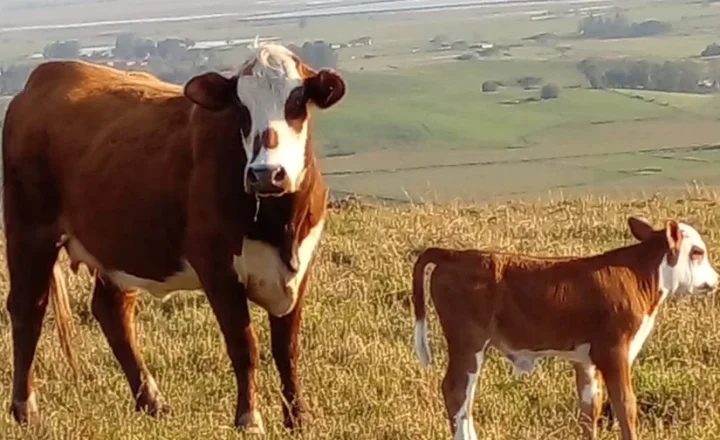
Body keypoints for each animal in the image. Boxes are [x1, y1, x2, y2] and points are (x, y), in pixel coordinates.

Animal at [2, 42, 345, 434]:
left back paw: (151, 401)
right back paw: (26, 410)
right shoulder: (217, 270)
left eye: (297, 99)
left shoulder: (298, 270)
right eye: (241, 106)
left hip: (121, 245)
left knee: (111, 311)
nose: (266, 174)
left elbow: (287, 349)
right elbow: (245, 347)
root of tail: (46, 74)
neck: (278, 223)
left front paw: (298, 419)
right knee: (28, 309)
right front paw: (249, 419)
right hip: (29, 230)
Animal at [410, 216, 719, 440]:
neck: (638, 275)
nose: (715, 280)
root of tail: (454, 255)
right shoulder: (614, 351)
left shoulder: (586, 360)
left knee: (466, 395)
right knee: (456, 391)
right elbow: (624, 405)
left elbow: (590, 408)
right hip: (467, 342)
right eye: (697, 252)